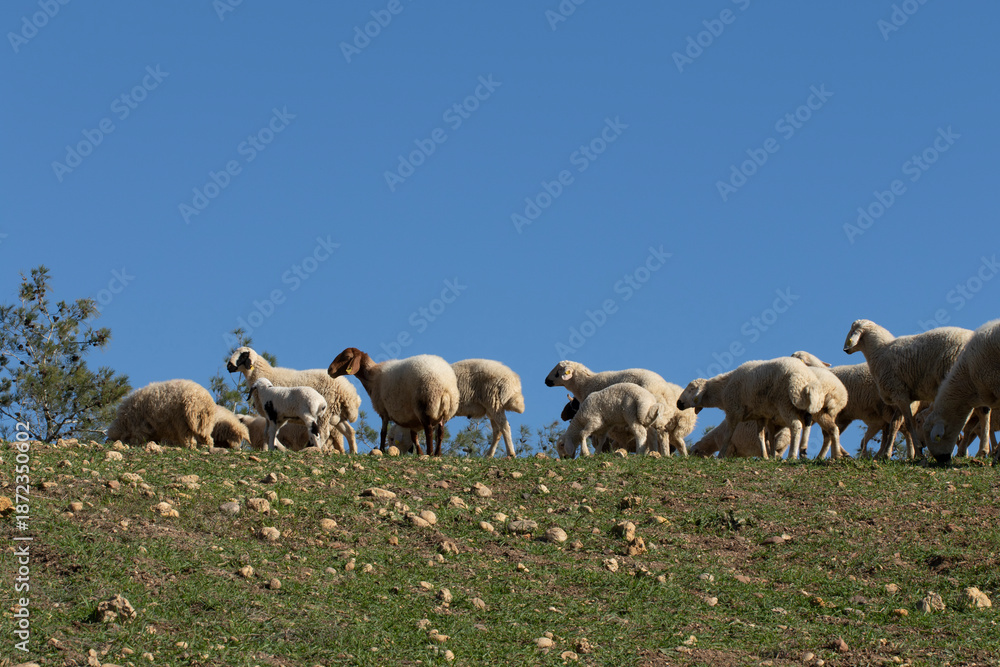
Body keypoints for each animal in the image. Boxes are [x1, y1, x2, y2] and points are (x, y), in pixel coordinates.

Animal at [227, 347, 361, 453]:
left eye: (243, 355)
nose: (229, 366)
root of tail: (350, 393)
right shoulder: (268, 416)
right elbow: (266, 433)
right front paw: (265, 449)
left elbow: (271, 433)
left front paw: (272, 448)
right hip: (336, 415)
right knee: (349, 432)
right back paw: (353, 453)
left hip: (325, 413)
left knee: (323, 433)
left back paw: (314, 448)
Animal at [327, 348, 459, 456]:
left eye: (346, 357)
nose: (330, 370)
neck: (372, 377)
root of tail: (445, 387)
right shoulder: (411, 417)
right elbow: (414, 437)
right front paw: (419, 453)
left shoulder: (383, 411)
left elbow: (383, 432)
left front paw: (381, 449)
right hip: (444, 412)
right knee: (440, 433)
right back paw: (437, 454)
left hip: (424, 405)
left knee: (429, 431)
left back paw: (430, 453)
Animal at [545, 360, 694, 456]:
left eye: (558, 371)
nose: (546, 381)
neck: (585, 384)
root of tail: (664, 391)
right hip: (661, 418)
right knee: (663, 435)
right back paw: (664, 454)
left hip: (645, 411)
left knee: (648, 433)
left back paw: (650, 452)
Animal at [677, 357, 824, 459]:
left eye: (691, 389)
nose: (678, 403)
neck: (723, 390)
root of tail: (806, 380)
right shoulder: (760, 416)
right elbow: (760, 435)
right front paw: (765, 455)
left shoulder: (733, 412)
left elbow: (728, 435)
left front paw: (721, 455)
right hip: (805, 407)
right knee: (806, 424)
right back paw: (802, 451)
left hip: (785, 403)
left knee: (796, 426)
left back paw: (792, 455)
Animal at [843, 319, 973, 458]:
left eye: (852, 331)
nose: (845, 349)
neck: (880, 351)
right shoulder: (902, 396)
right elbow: (894, 424)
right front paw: (887, 453)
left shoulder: (899, 394)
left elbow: (909, 423)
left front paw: (918, 452)